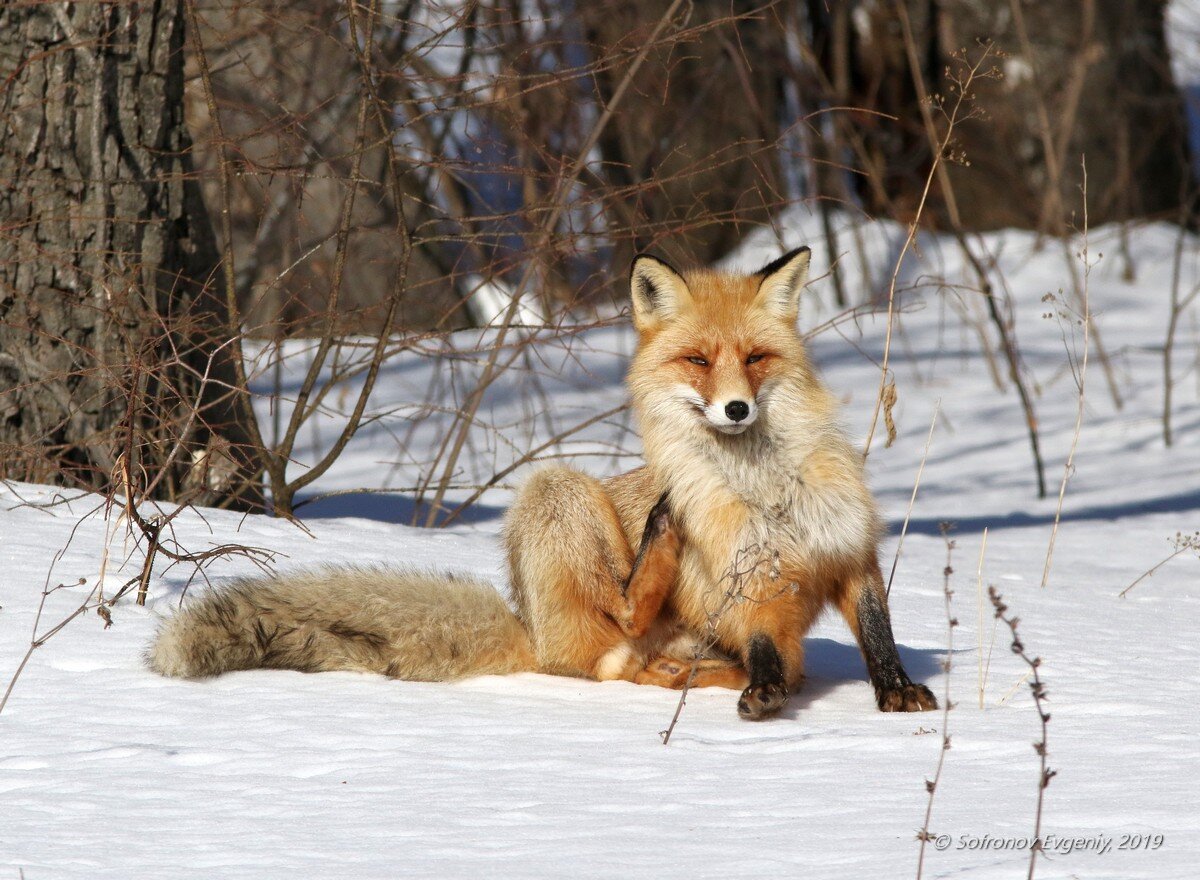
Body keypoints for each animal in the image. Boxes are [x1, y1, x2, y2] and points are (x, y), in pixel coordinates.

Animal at [147, 247, 936, 720]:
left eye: (755, 358)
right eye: (697, 361)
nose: (737, 408)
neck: (770, 493)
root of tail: (525, 624)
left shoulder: (850, 554)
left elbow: (878, 634)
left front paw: (897, 691)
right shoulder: (749, 586)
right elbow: (767, 648)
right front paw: (763, 692)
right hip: (558, 490)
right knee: (613, 647)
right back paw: (660, 553)